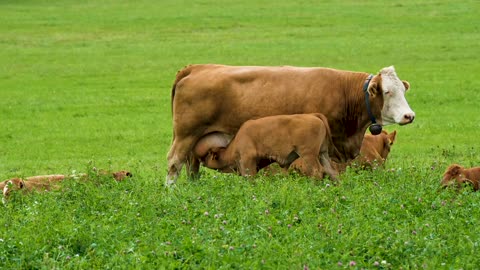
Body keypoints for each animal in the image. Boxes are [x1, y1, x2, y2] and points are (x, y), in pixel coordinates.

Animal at [198, 113, 338, 180]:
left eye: (208, 155)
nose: (201, 161)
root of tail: (314, 116)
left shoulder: (248, 159)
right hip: (322, 154)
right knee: (332, 172)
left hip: (308, 155)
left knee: (317, 172)